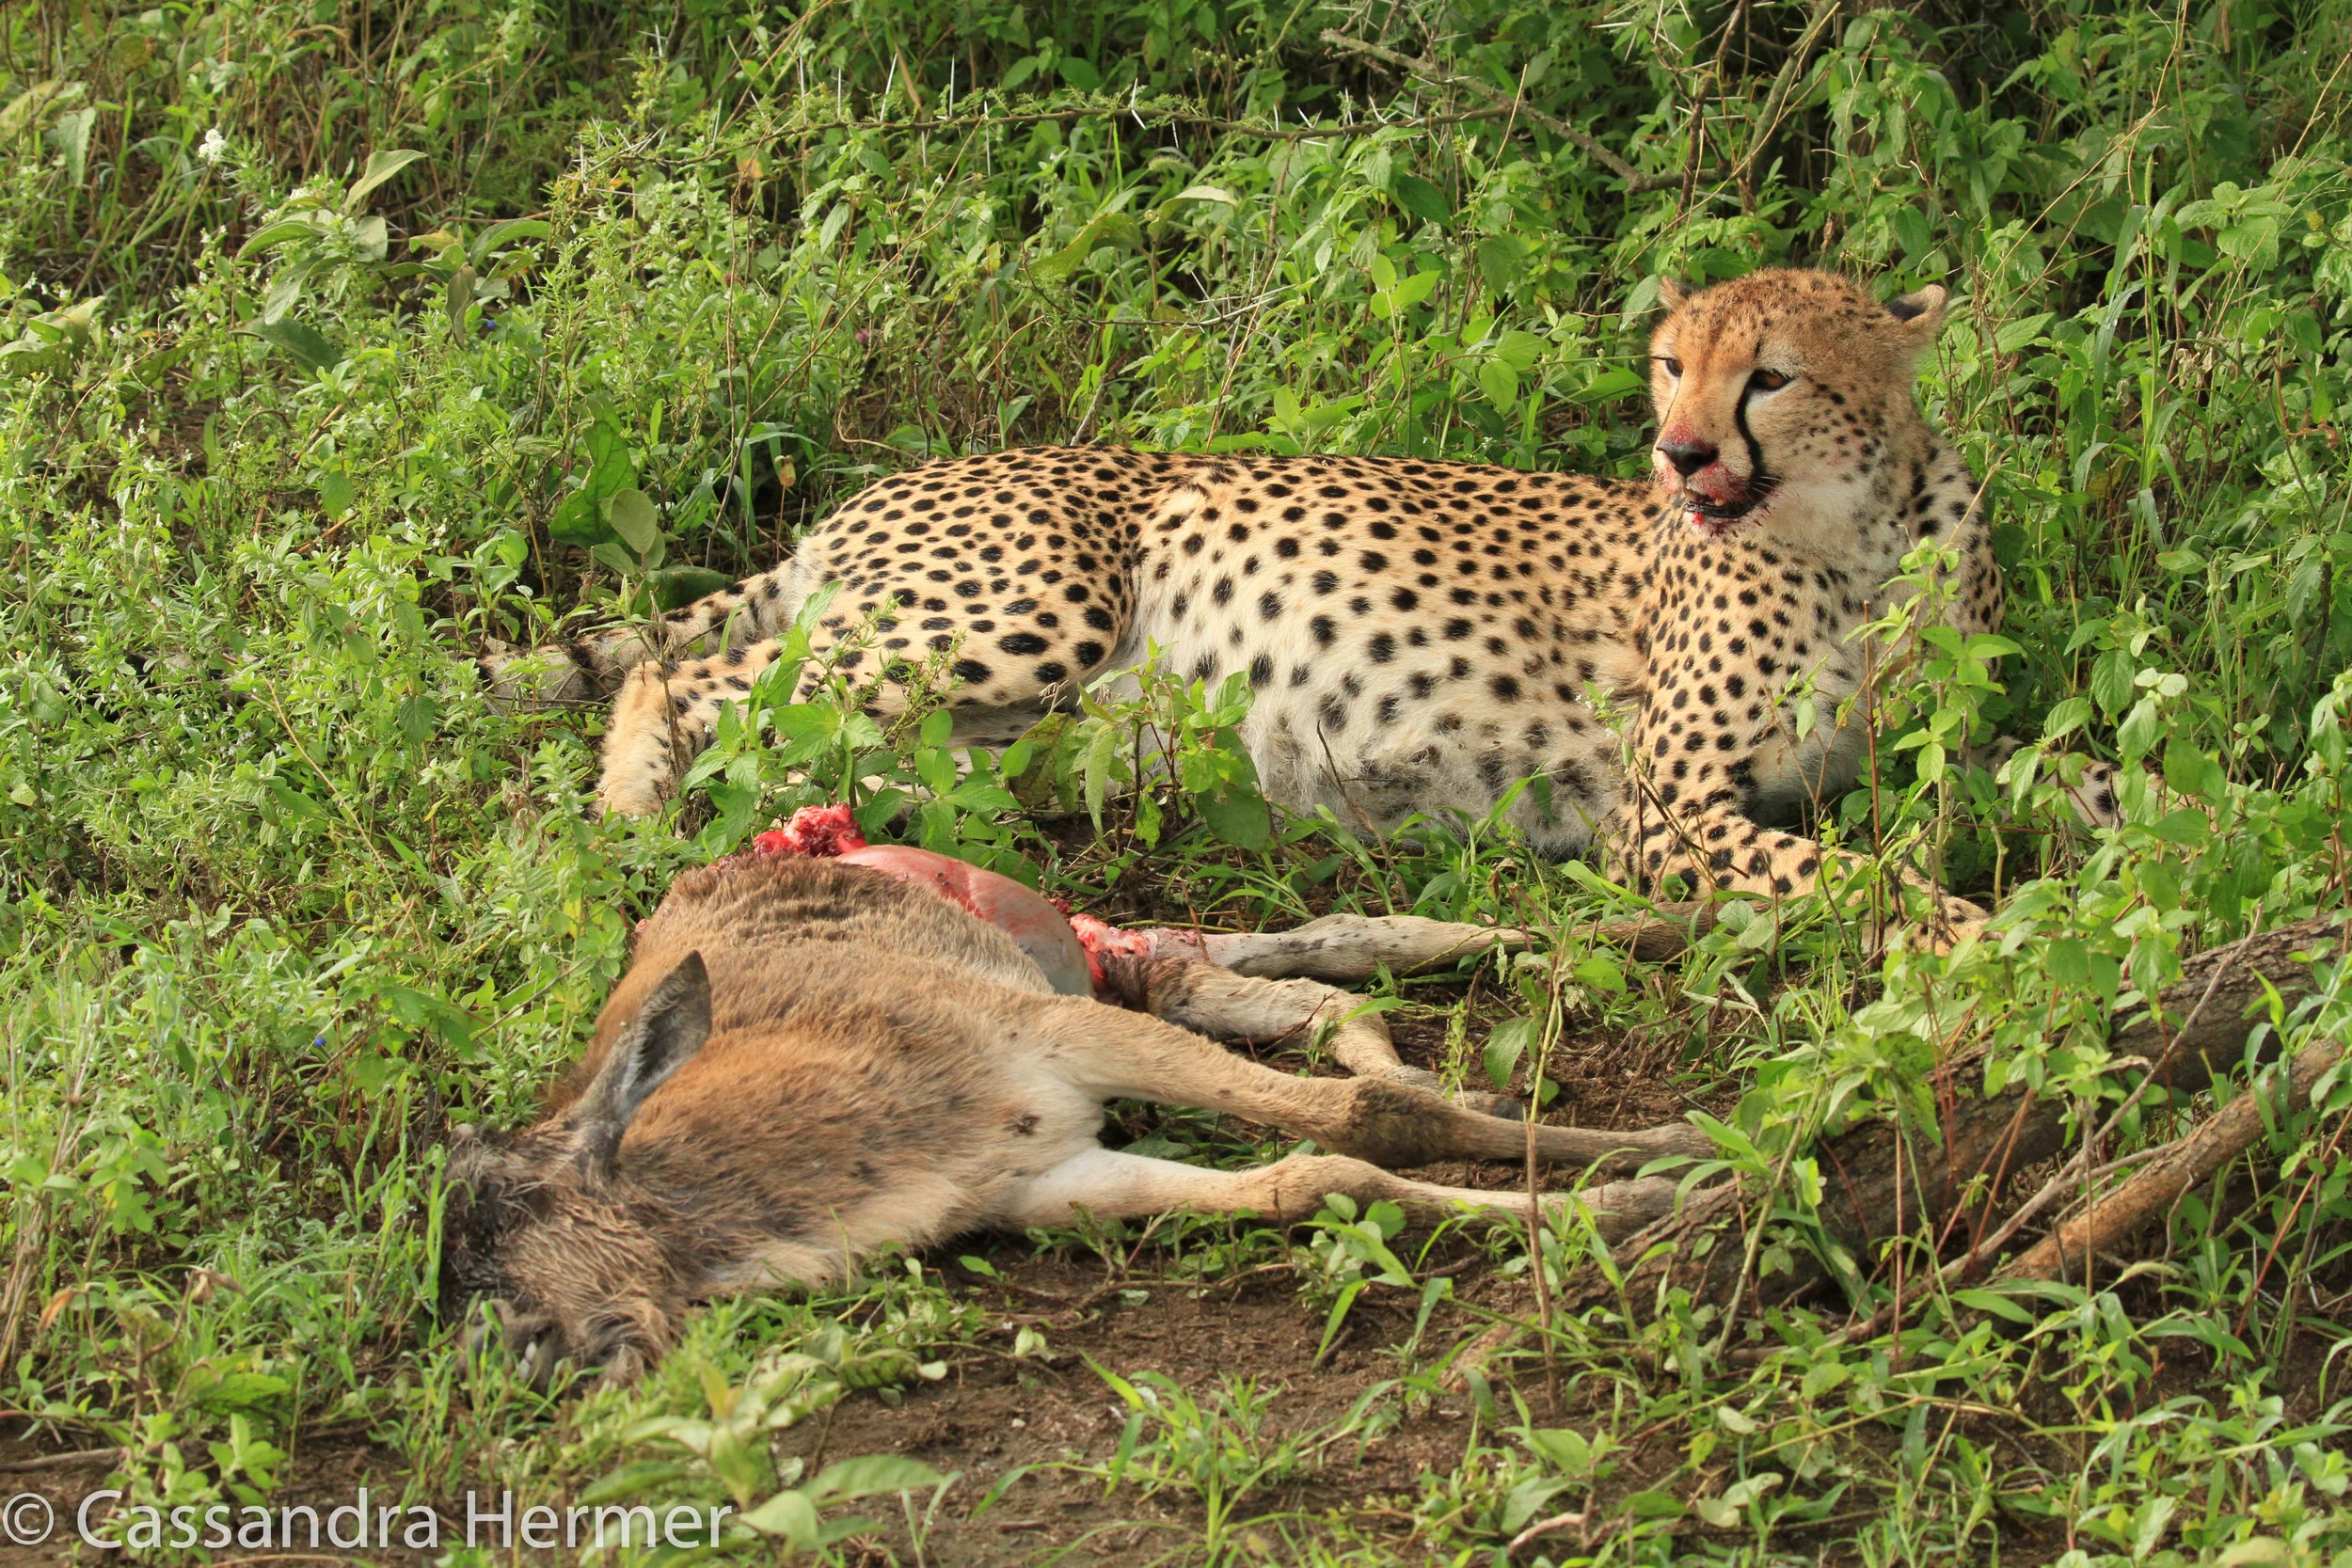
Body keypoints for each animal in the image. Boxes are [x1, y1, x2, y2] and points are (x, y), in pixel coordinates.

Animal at [483, 268, 2124, 936]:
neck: (1855, 532)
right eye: (1673, 364)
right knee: (687, 679)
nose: (1677, 449)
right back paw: (627, 815)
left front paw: (2161, 839)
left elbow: (2084, 771)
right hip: (1016, 614)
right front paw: (1967, 930)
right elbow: (1849, 875)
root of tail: (878, 488)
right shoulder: (1663, 811)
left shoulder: (1926, 749)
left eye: (1768, 373)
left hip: (984, 734)